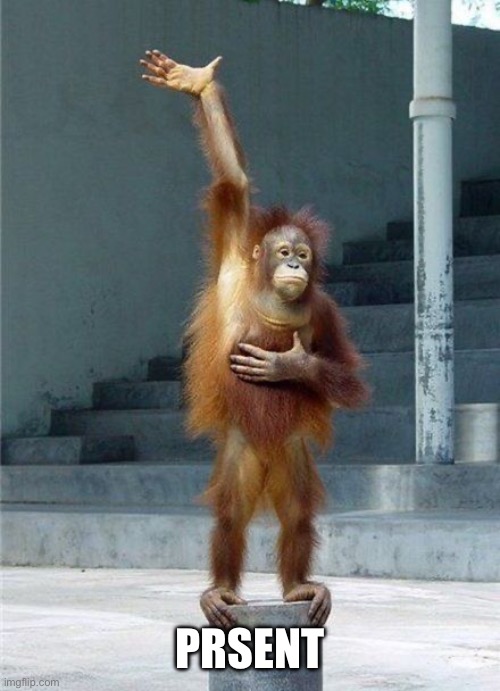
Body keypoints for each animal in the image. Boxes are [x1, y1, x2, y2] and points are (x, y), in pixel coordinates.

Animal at [140, 51, 369, 628]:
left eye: (304, 255)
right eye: (283, 251)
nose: (295, 265)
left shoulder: (326, 312)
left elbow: (350, 380)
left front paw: (293, 367)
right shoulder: (234, 254)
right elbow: (235, 183)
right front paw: (195, 83)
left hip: (293, 456)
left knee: (298, 518)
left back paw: (298, 587)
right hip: (240, 455)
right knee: (229, 519)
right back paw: (221, 591)